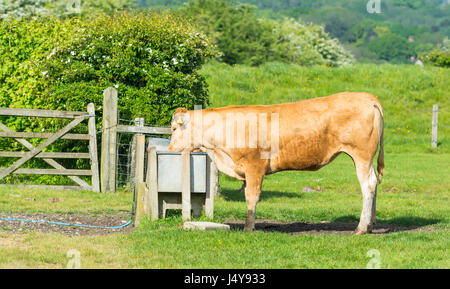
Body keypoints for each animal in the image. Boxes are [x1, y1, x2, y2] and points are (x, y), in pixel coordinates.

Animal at [169, 92, 384, 234]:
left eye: (174, 128)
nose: (170, 149)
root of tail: (367, 97)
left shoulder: (254, 166)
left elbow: (251, 197)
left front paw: (249, 227)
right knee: (374, 183)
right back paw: (371, 224)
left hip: (361, 155)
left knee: (368, 185)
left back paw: (361, 228)